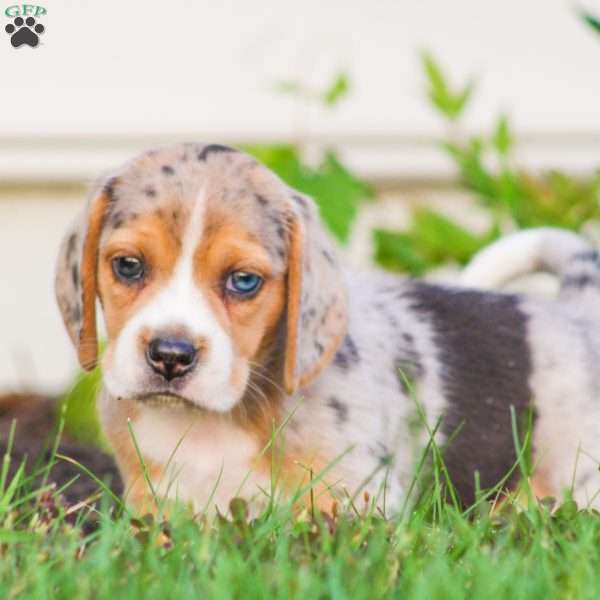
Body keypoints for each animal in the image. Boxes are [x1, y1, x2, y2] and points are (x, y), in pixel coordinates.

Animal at [54, 143, 600, 512]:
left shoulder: (357, 500)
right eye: (128, 266)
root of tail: (577, 309)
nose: (171, 355)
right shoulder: (157, 503)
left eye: (244, 281)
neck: (214, 422)